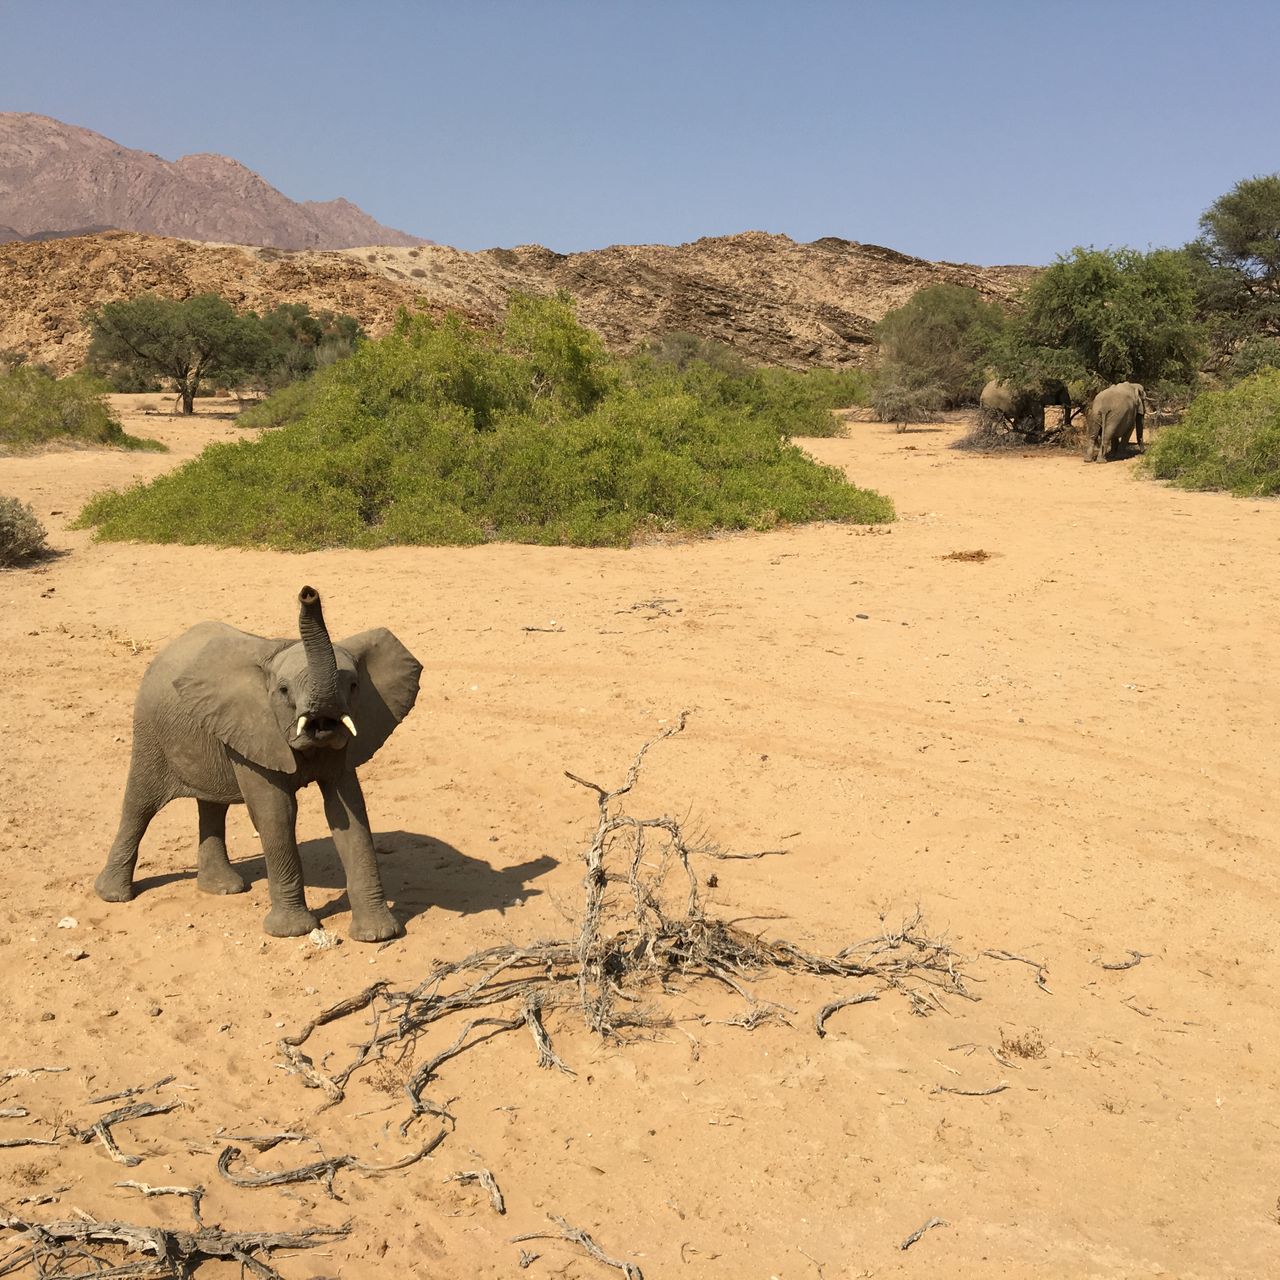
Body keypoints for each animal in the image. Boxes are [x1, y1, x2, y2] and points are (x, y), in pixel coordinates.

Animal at [95, 586, 422, 941]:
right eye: (283, 690)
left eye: (353, 686)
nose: (308, 594)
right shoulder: (254, 729)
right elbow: (276, 812)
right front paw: (292, 932)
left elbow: (348, 812)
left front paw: (379, 935)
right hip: (150, 731)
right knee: (139, 804)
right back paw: (113, 895)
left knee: (212, 805)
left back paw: (223, 889)